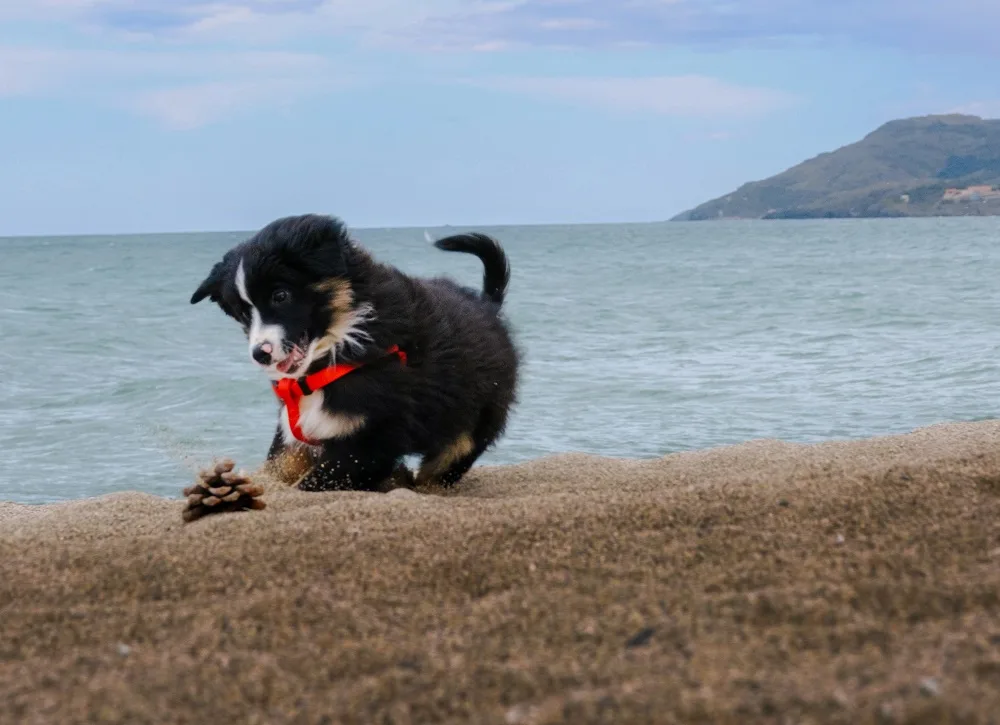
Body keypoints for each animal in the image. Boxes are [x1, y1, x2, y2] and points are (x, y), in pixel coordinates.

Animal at [188, 212, 520, 490]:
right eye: (242, 312)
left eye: (280, 295)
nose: (261, 354)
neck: (343, 342)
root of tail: (488, 305)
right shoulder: (294, 433)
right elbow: (277, 470)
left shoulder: (373, 437)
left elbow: (313, 483)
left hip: (470, 425)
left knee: (446, 463)